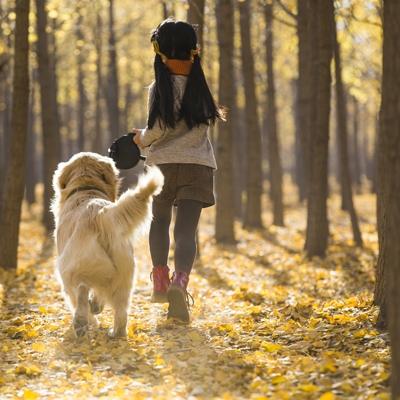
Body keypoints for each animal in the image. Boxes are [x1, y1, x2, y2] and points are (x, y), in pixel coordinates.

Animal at [50, 152, 163, 338]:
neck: (86, 189)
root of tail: (100, 213)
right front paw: (96, 306)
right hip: (125, 275)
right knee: (121, 311)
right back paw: (115, 332)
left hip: (70, 268)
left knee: (81, 291)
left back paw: (81, 322)